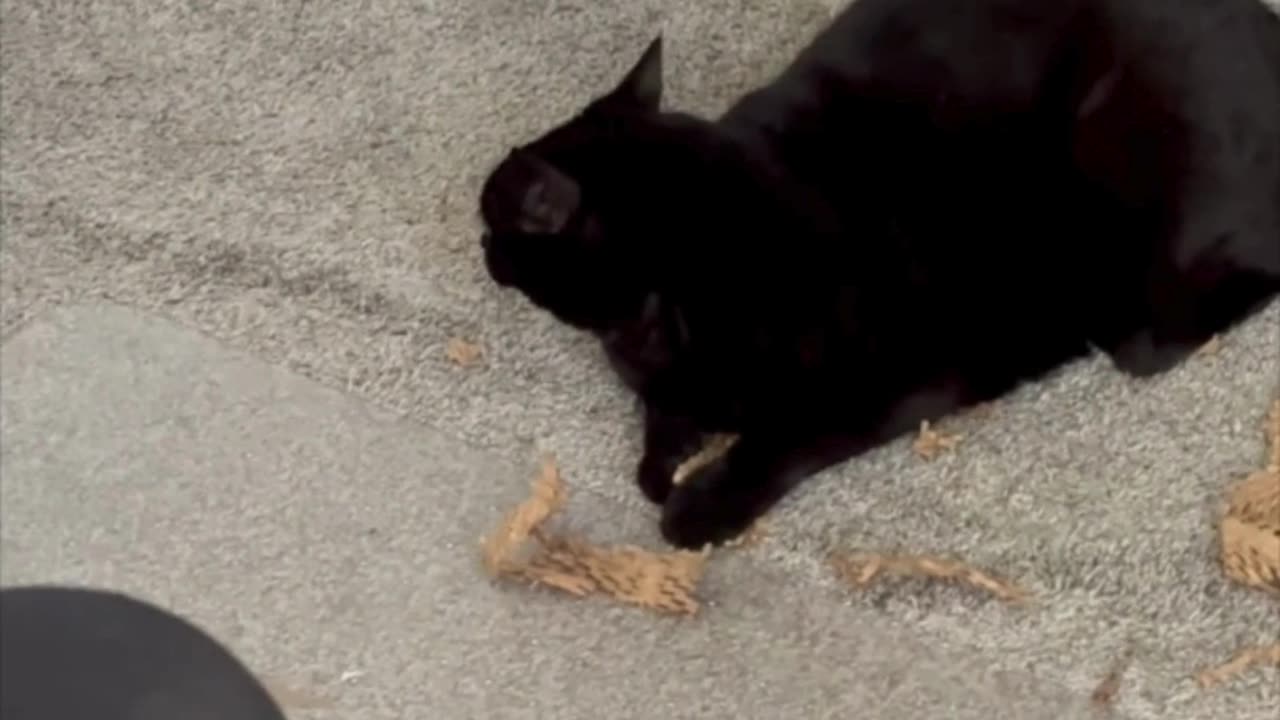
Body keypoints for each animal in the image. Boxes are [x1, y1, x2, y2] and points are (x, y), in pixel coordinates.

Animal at [478, 0, 1280, 545]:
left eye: (492, 224)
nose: (481, 246)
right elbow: (663, 420)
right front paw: (665, 454)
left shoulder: (899, 379)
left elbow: (787, 441)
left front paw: (704, 504)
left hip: (1123, 250)